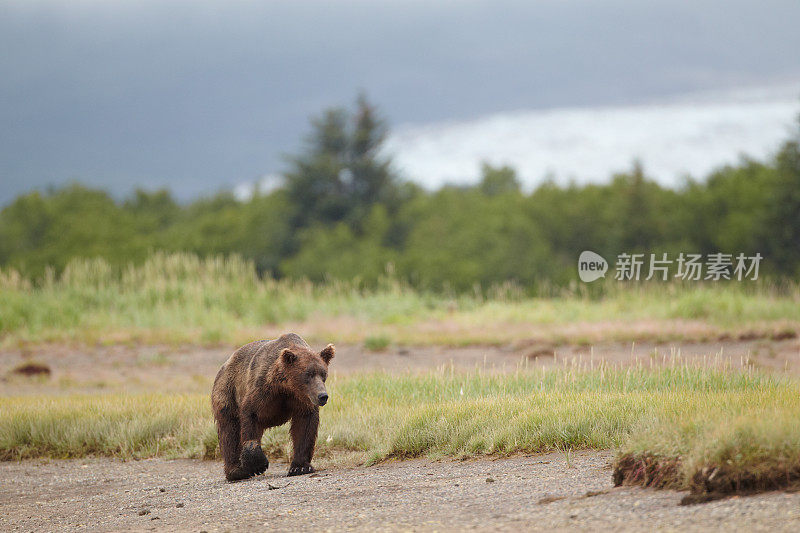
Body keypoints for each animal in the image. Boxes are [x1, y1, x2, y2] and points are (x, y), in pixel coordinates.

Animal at [209, 332, 334, 478]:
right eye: (308, 374)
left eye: (323, 374)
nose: (322, 396)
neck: (286, 388)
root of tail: (223, 366)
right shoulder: (263, 390)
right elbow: (250, 416)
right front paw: (258, 465)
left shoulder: (302, 401)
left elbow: (305, 427)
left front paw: (300, 467)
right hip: (227, 392)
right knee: (229, 430)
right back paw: (237, 471)